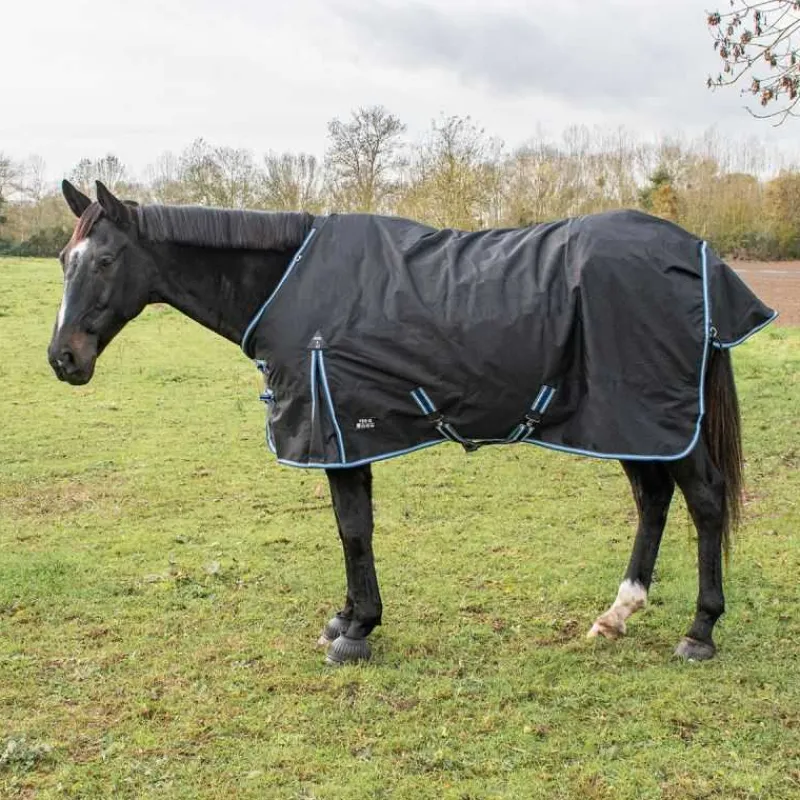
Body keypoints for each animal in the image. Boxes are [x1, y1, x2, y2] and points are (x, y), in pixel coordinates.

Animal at [48, 179, 776, 666]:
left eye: (105, 260)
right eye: (62, 261)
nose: (63, 358)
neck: (289, 281)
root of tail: (699, 255)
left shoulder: (337, 427)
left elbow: (353, 528)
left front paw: (355, 632)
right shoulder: (346, 433)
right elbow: (352, 528)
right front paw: (346, 618)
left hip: (657, 416)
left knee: (705, 502)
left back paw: (700, 632)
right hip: (630, 421)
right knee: (653, 499)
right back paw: (617, 614)